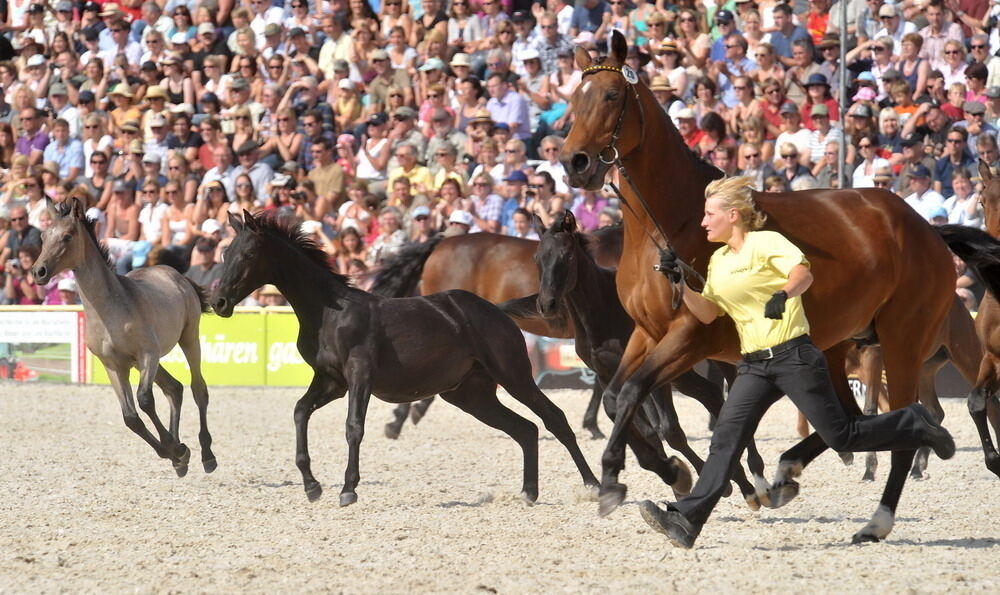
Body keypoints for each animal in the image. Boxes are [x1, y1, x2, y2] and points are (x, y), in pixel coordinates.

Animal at [214, 212, 596, 506]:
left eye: (248, 255)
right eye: (226, 252)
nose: (218, 302)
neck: (329, 312)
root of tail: (497, 310)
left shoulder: (360, 374)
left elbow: (354, 426)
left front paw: (348, 489)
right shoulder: (331, 381)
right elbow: (300, 411)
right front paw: (312, 486)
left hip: (514, 376)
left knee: (554, 419)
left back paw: (593, 485)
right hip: (470, 395)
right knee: (526, 429)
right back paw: (529, 492)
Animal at [564, 31, 1000, 544]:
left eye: (612, 96)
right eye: (573, 98)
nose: (575, 162)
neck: (675, 223)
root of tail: (924, 227)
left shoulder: (690, 337)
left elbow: (633, 391)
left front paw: (636, 477)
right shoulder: (646, 333)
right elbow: (616, 398)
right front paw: (656, 471)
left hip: (902, 342)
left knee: (907, 421)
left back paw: (877, 519)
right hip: (839, 345)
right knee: (850, 419)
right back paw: (787, 471)